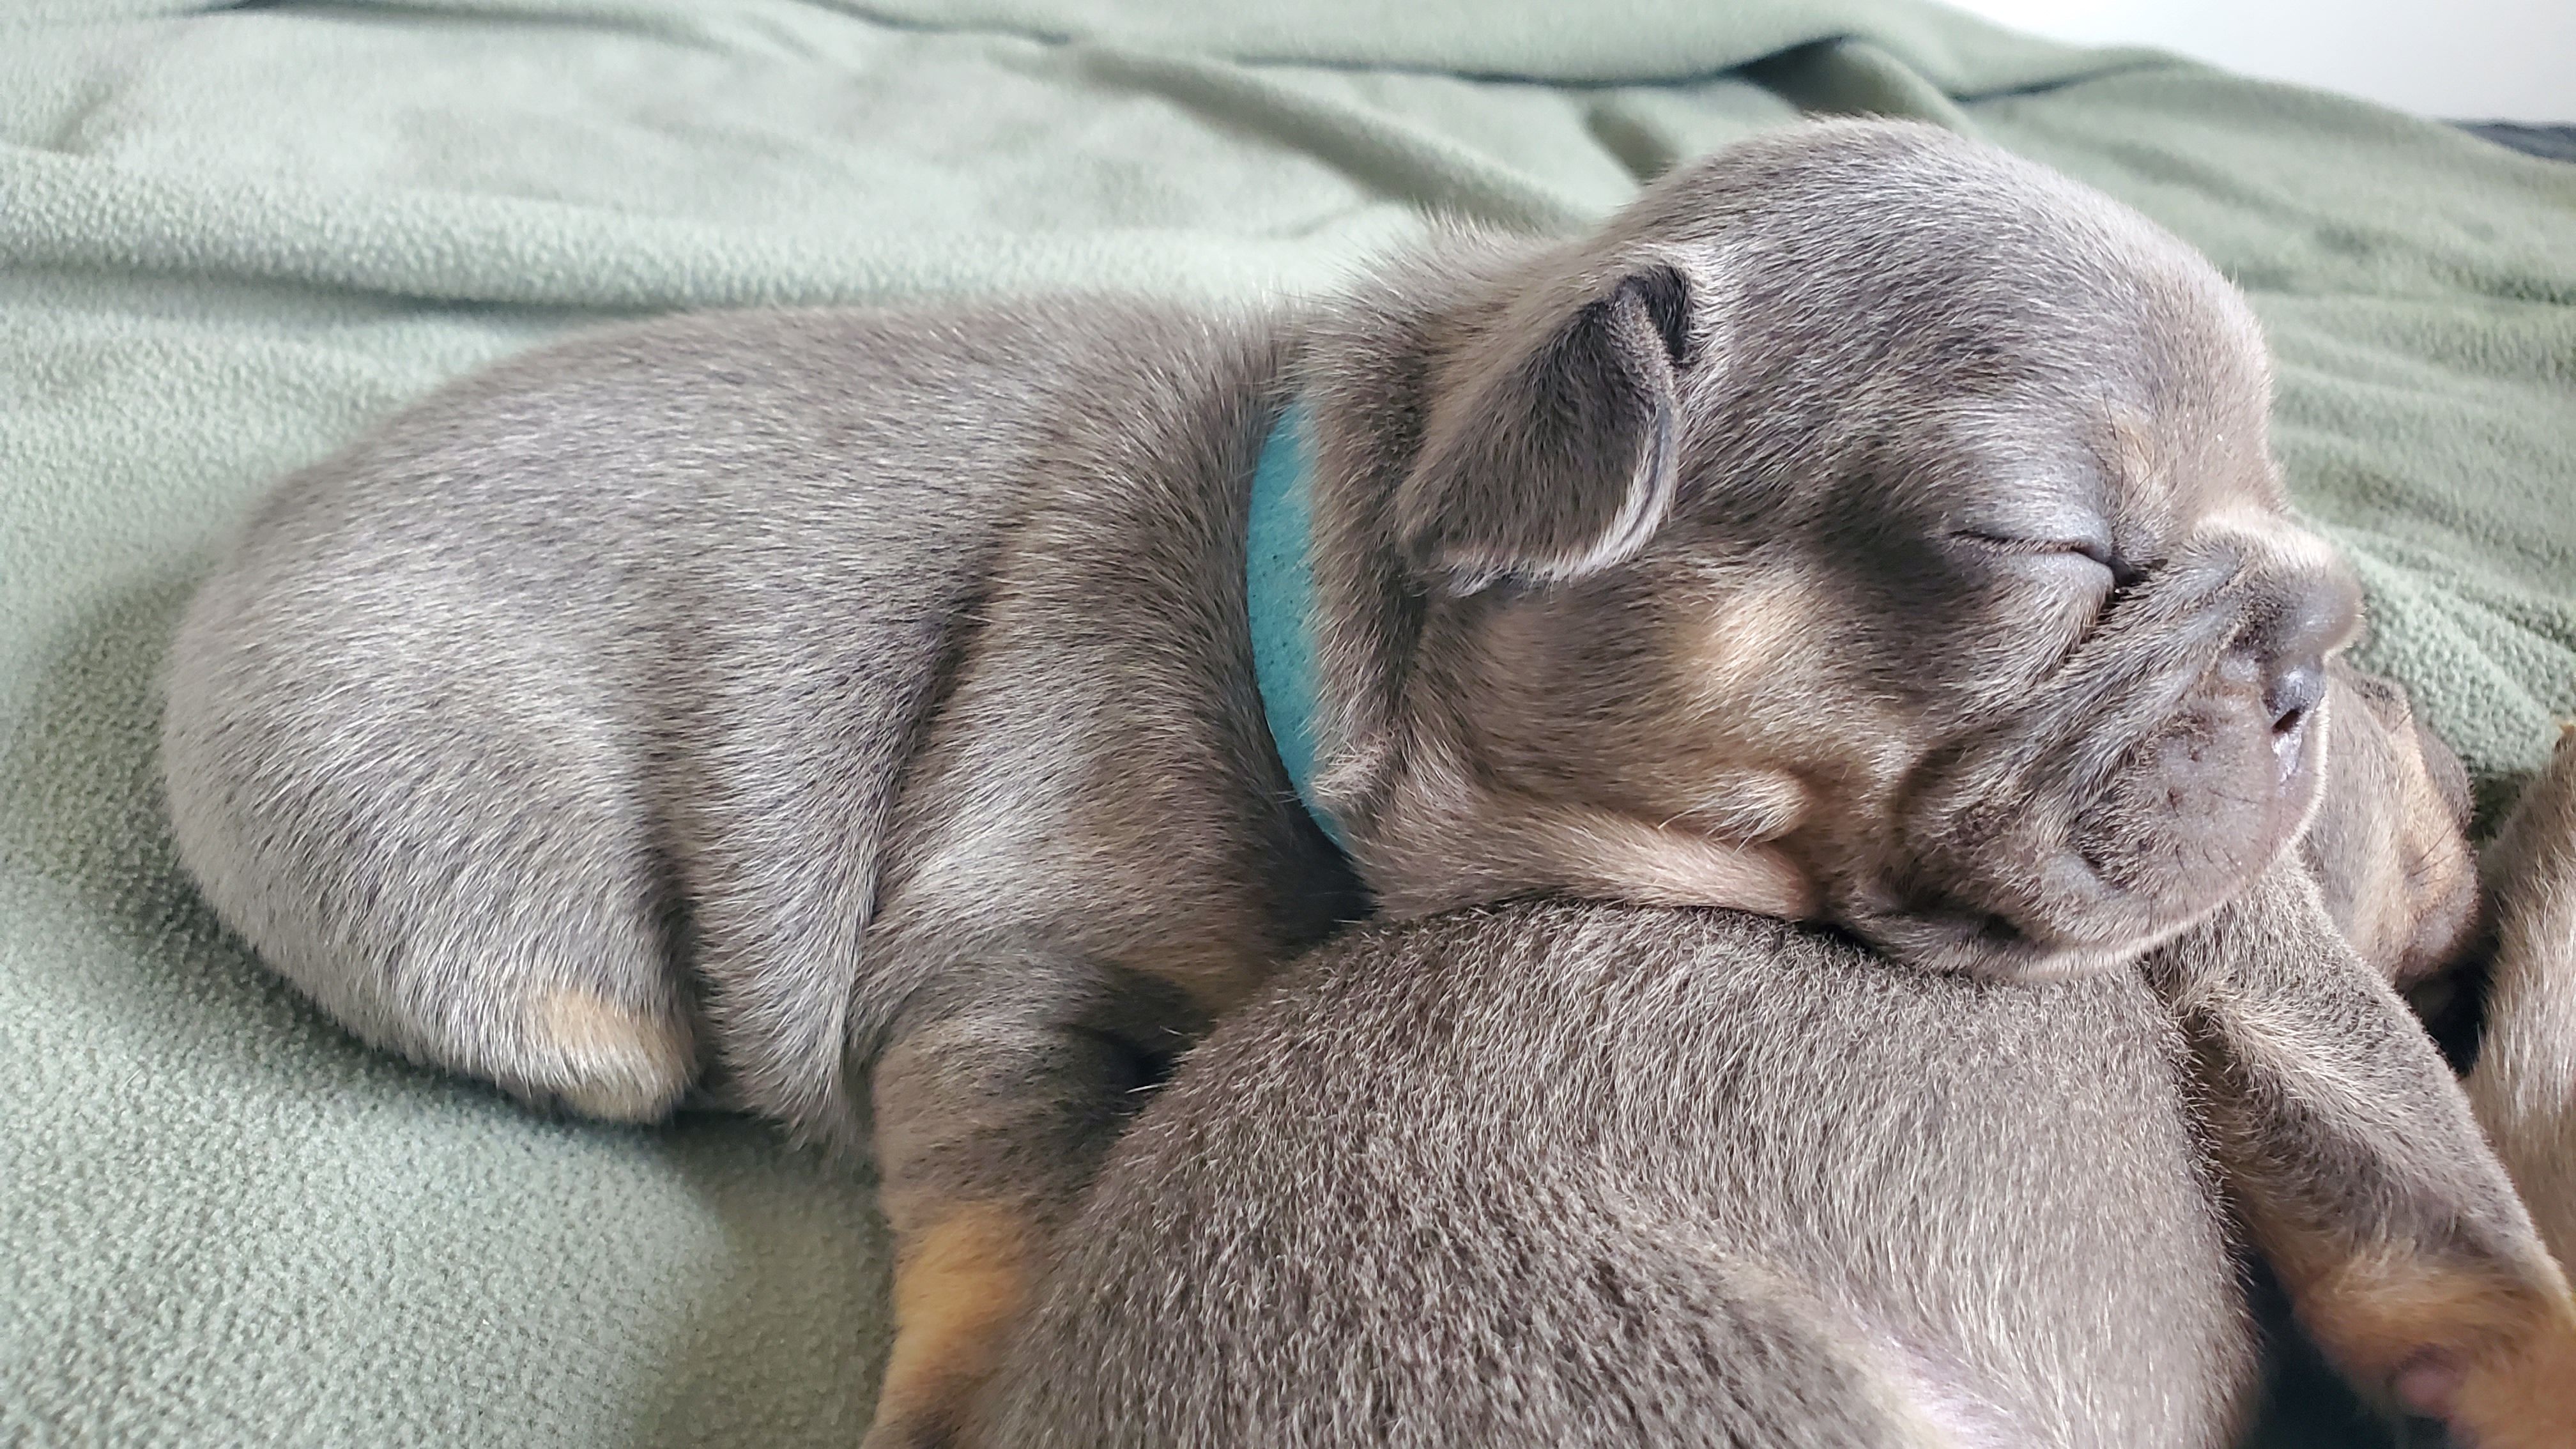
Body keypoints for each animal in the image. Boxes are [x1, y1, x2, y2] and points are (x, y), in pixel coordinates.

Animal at [155, 118, 2370, 1433]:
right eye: (2044, 548)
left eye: (2287, 487)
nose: (2320, 636)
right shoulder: (992, 987)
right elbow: (1011, 1213)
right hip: (488, 912)